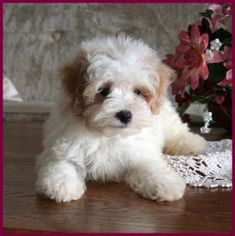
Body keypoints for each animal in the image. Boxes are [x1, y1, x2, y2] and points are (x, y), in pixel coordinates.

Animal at [35, 35, 206, 203]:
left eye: (138, 91)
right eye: (103, 91)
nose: (125, 115)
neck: (108, 135)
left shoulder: (141, 152)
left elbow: (150, 166)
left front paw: (165, 183)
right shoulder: (62, 145)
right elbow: (60, 162)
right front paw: (60, 183)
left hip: (166, 116)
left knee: (177, 130)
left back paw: (192, 143)